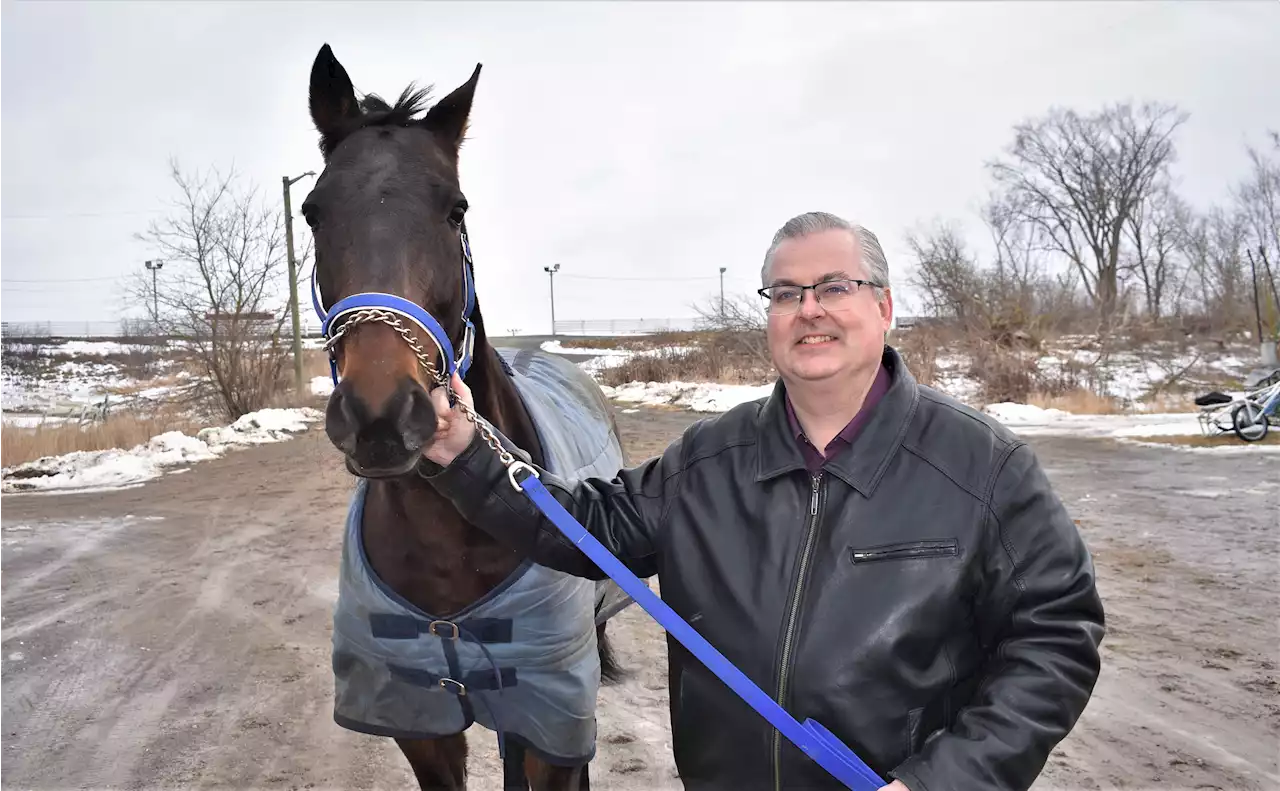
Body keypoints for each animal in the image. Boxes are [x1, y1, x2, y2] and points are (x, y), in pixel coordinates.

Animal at [305, 44, 634, 788]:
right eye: (311, 211)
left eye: (456, 209)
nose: (380, 414)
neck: (449, 537)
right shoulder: (421, 728)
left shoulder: (548, 727)